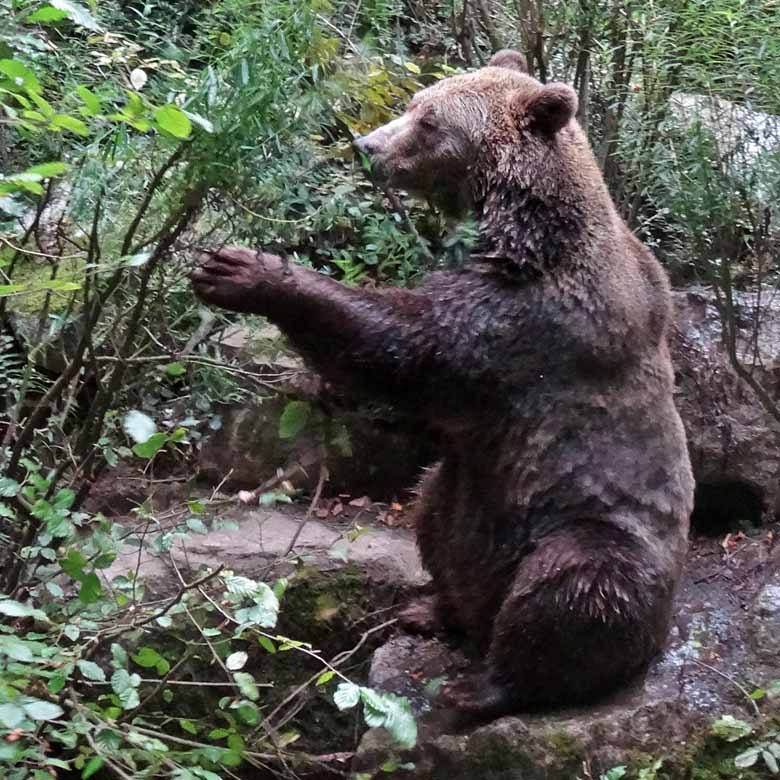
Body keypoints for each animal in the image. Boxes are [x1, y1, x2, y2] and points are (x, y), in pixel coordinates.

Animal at [192, 50, 692, 720]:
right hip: (461, 499)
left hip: (594, 529)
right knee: (433, 513)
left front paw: (244, 271)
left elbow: (409, 346)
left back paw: (481, 684)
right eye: (414, 103)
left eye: (430, 121)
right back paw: (431, 609)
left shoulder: (527, 316)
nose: (366, 146)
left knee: (571, 587)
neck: (521, 226)